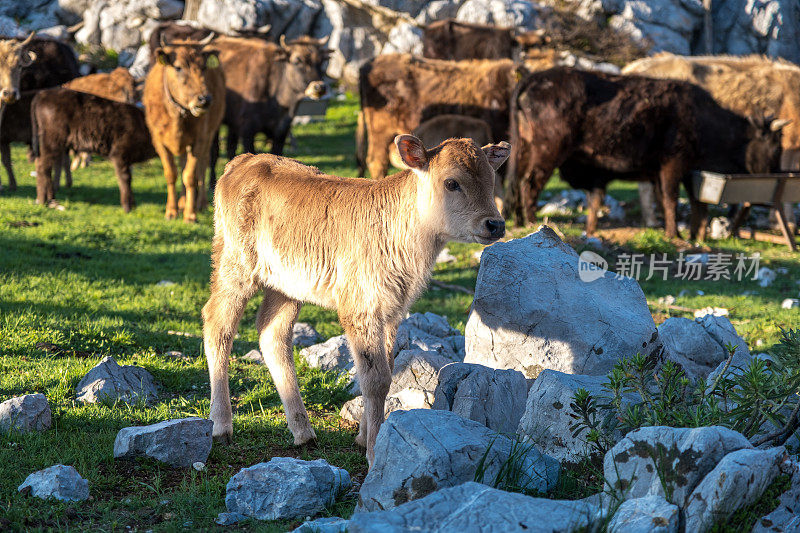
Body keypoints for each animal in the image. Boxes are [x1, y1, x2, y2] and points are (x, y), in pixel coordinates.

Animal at [142, 34, 225, 222]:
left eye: (203, 67)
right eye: (178, 67)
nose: (204, 99)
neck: (177, 116)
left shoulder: (199, 140)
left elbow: (190, 175)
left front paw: (190, 214)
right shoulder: (159, 142)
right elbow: (172, 173)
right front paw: (171, 210)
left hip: (209, 137)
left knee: (201, 166)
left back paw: (200, 203)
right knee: (181, 165)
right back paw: (181, 202)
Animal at [203, 136, 510, 466]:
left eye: (491, 179)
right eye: (452, 182)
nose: (495, 224)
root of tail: (244, 160)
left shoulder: (392, 311)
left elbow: (385, 369)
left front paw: (364, 437)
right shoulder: (360, 306)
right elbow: (376, 379)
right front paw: (375, 451)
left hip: (286, 285)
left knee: (272, 332)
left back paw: (303, 432)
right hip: (235, 263)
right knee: (217, 324)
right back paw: (221, 426)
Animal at [510, 67, 784, 238]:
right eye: (774, 146)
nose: (778, 174)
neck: (704, 119)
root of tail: (534, 78)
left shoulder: (679, 171)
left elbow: (687, 202)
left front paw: (689, 234)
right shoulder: (673, 164)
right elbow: (672, 199)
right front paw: (674, 234)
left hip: (524, 150)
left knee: (516, 184)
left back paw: (520, 221)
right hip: (547, 152)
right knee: (530, 184)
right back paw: (532, 222)